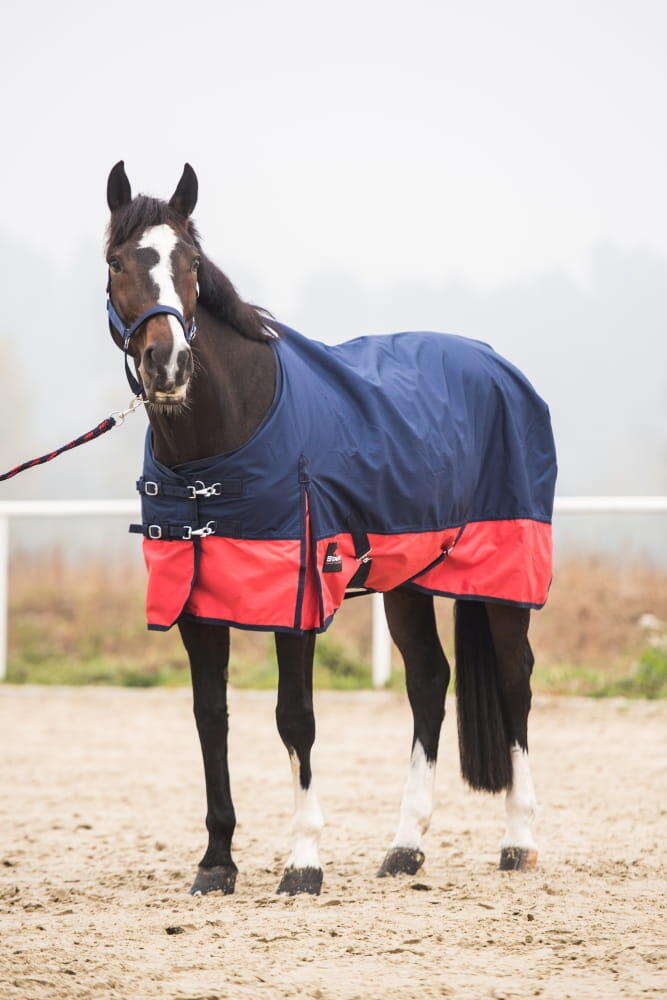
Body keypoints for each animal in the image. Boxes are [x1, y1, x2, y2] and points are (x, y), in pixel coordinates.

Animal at [105, 161, 555, 896]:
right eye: (118, 262)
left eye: (191, 263)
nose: (167, 364)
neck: (226, 437)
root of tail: (495, 364)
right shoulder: (195, 604)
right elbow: (210, 719)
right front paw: (217, 862)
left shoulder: (297, 596)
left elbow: (295, 718)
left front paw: (304, 863)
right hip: (408, 580)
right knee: (428, 681)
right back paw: (405, 847)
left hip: (505, 575)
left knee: (515, 680)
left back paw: (518, 841)